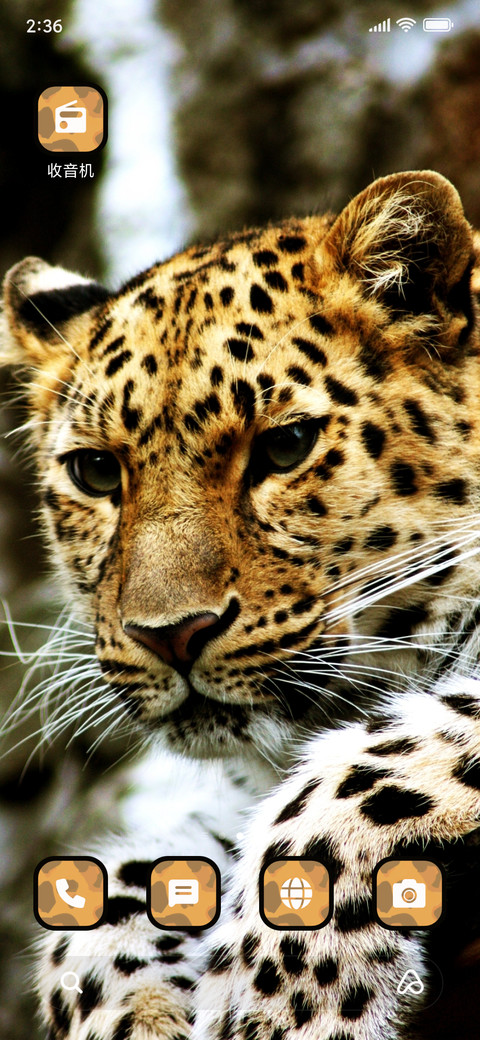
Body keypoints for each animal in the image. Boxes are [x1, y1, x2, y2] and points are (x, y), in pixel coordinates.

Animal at [2, 169, 480, 1040]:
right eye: (95, 471)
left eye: (284, 448)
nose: (170, 635)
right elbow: (114, 892)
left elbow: (363, 768)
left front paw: (288, 1004)